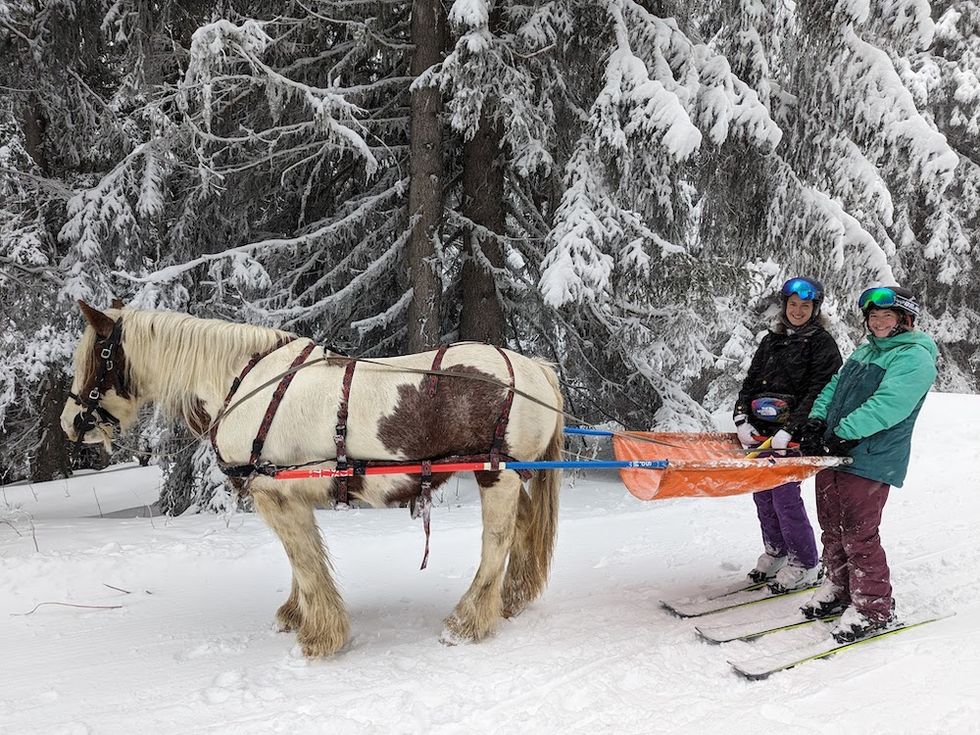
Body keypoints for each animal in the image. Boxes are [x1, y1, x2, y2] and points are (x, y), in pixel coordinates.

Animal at [61, 302, 564, 660]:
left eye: (98, 358)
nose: (70, 423)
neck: (244, 383)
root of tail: (535, 368)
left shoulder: (273, 494)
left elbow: (303, 560)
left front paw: (321, 636)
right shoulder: (287, 493)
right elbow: (300, 560)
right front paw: (296, 614)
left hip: (494, 475)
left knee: (496, 543)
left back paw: (467, 622)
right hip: (510, 476)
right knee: (520, 534)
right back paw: (510, 600)